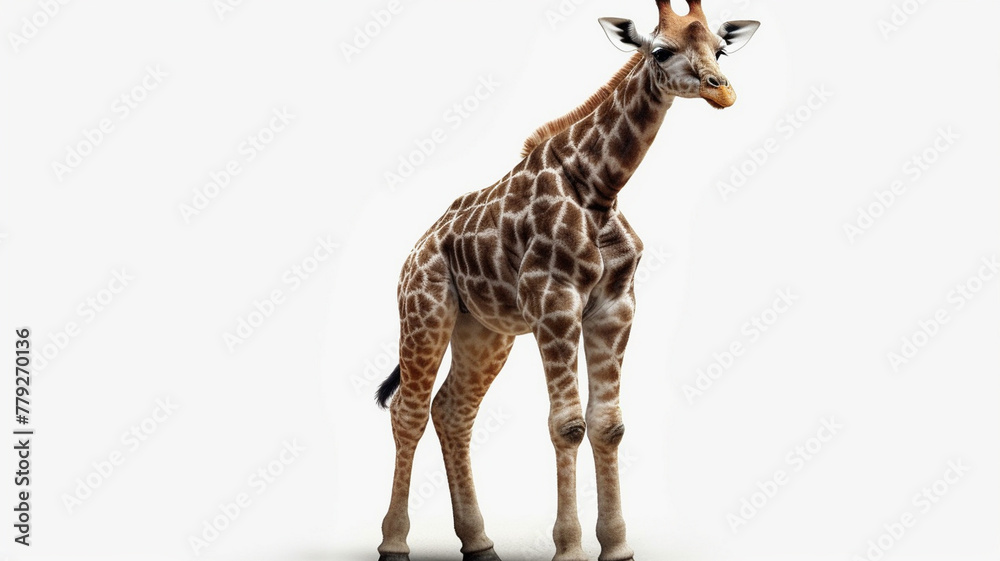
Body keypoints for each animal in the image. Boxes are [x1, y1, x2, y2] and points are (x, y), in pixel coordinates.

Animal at [374, 2, 759, 560]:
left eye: (720, 49)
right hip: (425, 311)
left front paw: (617, 546)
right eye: (660, 50)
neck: (599, 188)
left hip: (485, 332)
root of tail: (414, 251)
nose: (722, 90)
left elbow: (609, 425)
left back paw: (479, 541)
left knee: (453, 411)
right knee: (410, 410)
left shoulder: (616, 308)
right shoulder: (555, 304)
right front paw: (570, 547)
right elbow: (568, 425)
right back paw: (394, 542)